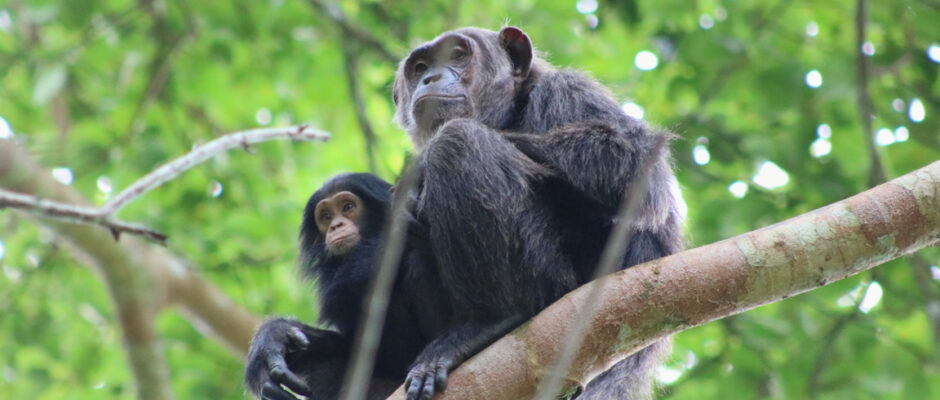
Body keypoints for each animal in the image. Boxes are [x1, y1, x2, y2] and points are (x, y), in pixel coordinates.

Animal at [392, 27, 684, 399]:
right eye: (420, 67)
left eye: (457, 55)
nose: (431, 77)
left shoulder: (570, 92)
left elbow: (636, 166)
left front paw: (417, 174)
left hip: (553, 284)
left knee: (459, 141)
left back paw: (486, 324)